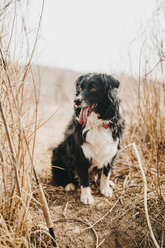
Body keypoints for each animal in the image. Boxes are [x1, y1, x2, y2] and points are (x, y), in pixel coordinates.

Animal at [51, 73, 124, 203]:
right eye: (80, 88)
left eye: (93, 88)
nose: (76, 101)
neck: (98, 123)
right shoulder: (80, 154)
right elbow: (84, 178)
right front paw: (86, 196)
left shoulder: (111, 150)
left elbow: (106, 173)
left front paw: (105, 188)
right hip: (58, 152)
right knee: (62, 175)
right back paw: (69, 184)